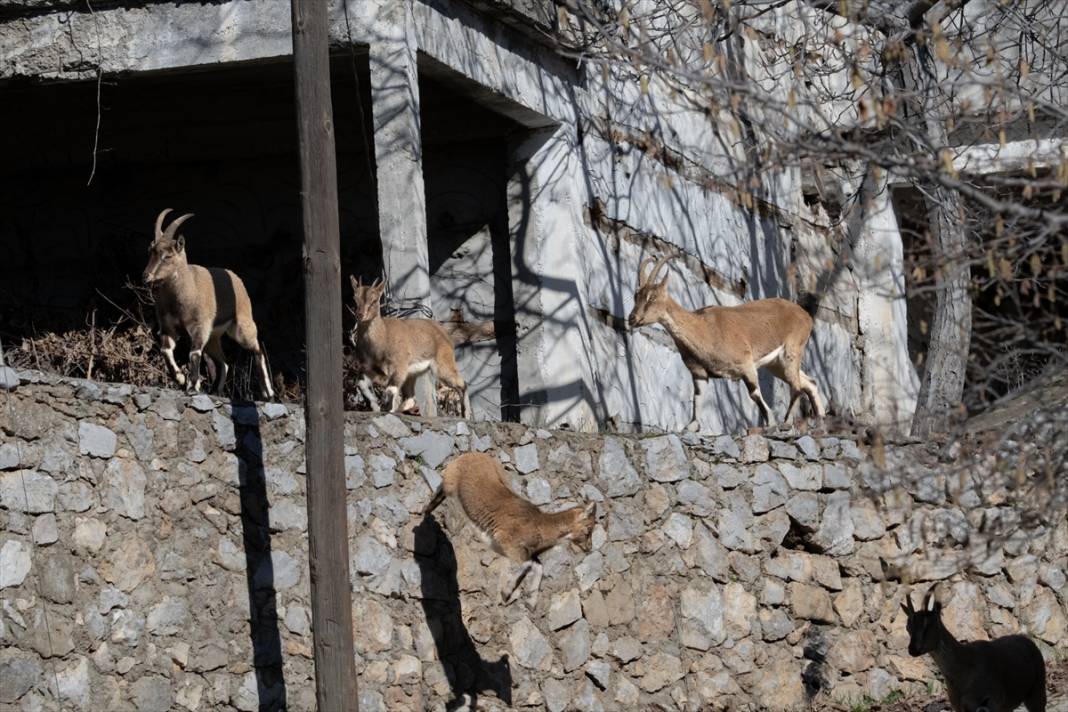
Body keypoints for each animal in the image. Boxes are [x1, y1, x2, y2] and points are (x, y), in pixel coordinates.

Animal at [142, 210, 275, 401]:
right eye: (150, 252)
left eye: (167, 256)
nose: (146, 276)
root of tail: (235, 278)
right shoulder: (168, 328)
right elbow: (165, 350)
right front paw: (181, 379)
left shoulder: (199, 327)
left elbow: (194, 353)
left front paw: (192, 386)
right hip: (214, 337)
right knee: (224, 362)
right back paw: (215, 390)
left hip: (241, 326)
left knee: (257, 350)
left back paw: (268, 393)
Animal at [350, 275, 472, 418]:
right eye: (355, 298)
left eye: (374, 300)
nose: (360, 315)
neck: (380, 341)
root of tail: (445, 334)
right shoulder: (369, 367)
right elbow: (361, 384)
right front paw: (375, 406)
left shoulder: (399, 365)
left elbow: (391, 389)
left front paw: (386, 409)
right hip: (413, 373)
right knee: (410, 397)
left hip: (443, 365)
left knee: (462, 384)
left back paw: (466, 415)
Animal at [420, 454, 598, 606]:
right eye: (588, 529)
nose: (589, 548)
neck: (540, 526)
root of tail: (470, 454)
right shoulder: (507, 541)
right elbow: (527, 565)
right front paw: (506, 592)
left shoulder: (524, 552)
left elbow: (538, 566)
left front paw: (530, 601)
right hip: (451, 482)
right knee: (440, 489)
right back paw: (424, 512)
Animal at [623, 256, 824, 435]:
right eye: (635, 296)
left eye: (652, 297)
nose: (632, 318)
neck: (703, 328)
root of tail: (805, 316)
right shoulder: (699, 372)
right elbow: (697, 397)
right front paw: (691, 427)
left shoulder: (745, 364)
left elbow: (754, 393)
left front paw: (771, 422)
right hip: (775, 364)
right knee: (809, 382)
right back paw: (820, 421)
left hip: (791, 351)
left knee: (796, 385)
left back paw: (787, 422)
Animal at [897, 589, 1046, 708]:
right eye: (908, 626)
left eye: (929, 625)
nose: (913, 649)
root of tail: (1029, 642)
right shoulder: (958, 705)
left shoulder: (994, 700)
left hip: (1037, 689)